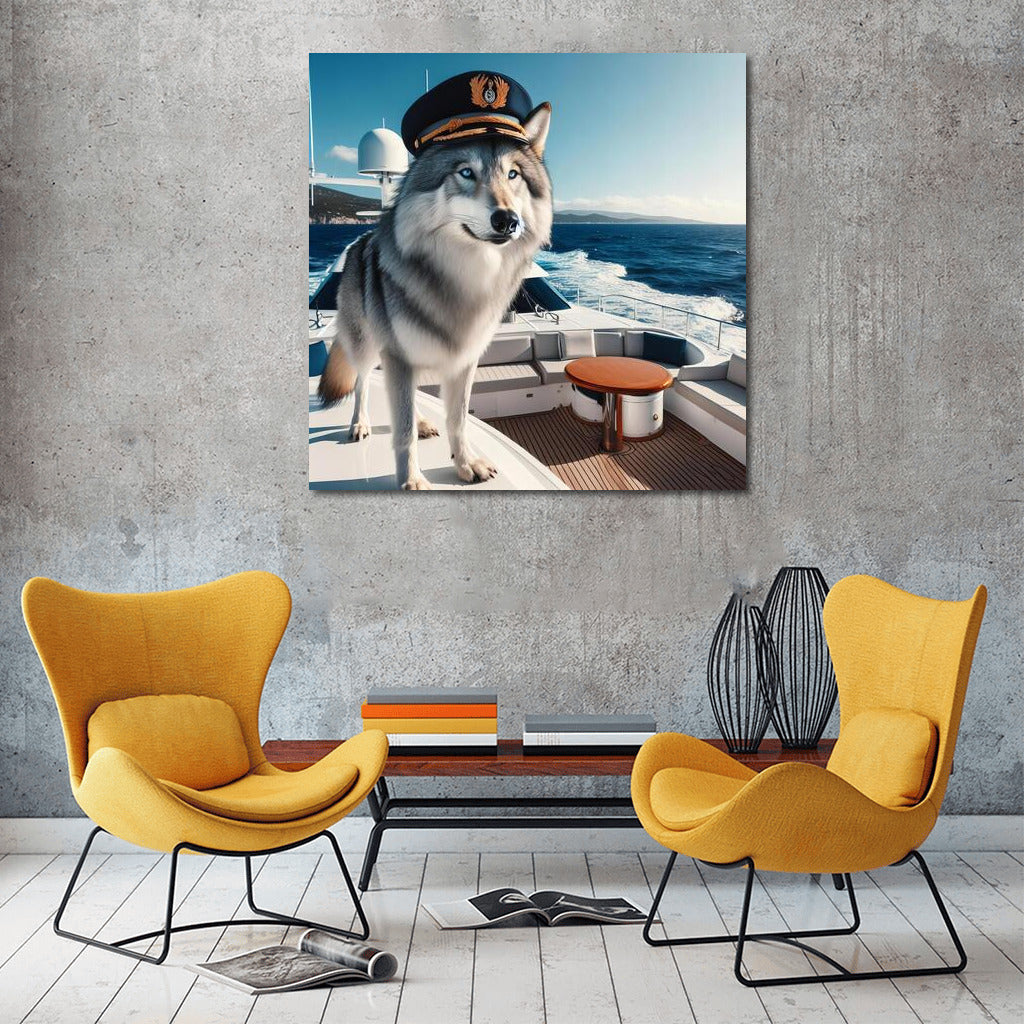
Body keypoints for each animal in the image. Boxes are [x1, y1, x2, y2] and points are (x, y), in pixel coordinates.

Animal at [317, 105, 553, 490]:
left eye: (513, 174)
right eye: (466, 172)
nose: (508, 220)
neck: (465, 278)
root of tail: (359, 243)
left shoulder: (463, 360)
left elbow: (457, 419)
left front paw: (466, 463)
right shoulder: (398, 357)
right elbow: (403, 430)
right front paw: (411, 480)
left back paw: (424, 423)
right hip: (366, 346)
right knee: (364, 384)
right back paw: (360, 424)